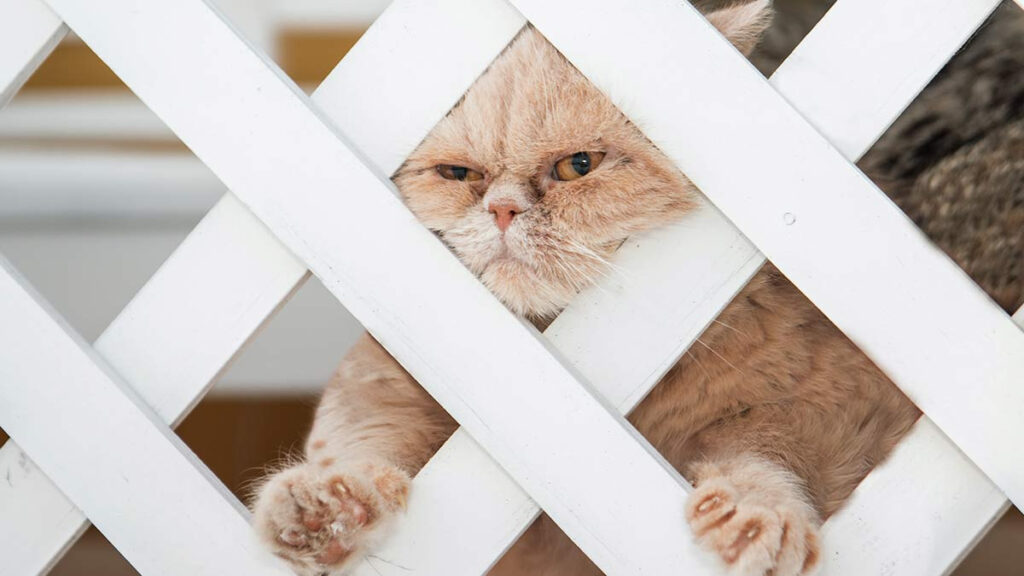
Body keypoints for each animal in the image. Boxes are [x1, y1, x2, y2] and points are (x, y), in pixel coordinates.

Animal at [251, 2, 1019, 569]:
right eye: (458, 175)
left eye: (577, 167)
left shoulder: (839, 407)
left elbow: (765, 453)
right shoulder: (380, 385)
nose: (501, 209)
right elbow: (363, 446)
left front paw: (754, 513)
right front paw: (325, 508)